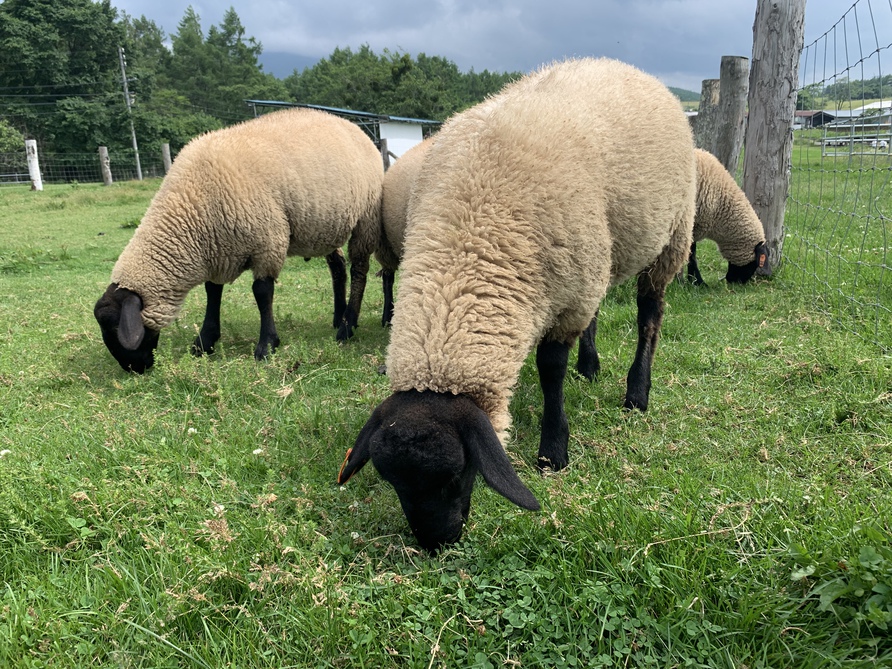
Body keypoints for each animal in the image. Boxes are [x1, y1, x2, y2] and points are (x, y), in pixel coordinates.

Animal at [94, 107, 384, 374]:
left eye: (115, 327)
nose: (134, 368)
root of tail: (351, 125)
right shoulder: (218, 249)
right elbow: (213, 292)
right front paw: (204, 342)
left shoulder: (268, 241)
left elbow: (262, 292)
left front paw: (266, 346)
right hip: (325, 225)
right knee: (338, 268)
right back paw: (338, 316)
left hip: (365, 217)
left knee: (359, 269)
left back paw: (347, 326)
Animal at [576, 149, 772, 384]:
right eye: (756, 263)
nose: (735, 282)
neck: (720, 203)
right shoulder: (689, 221)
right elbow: (693, 253)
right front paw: (695, 280)